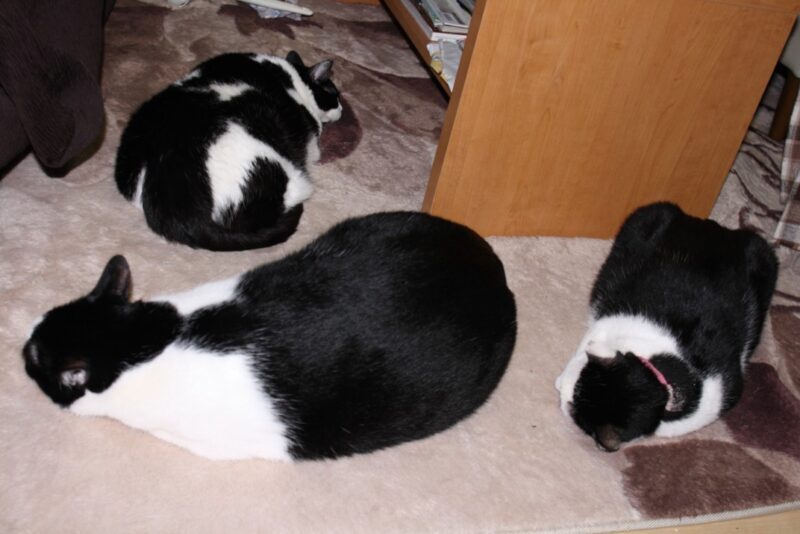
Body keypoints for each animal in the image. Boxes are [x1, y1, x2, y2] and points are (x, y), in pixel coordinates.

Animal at [556, 203, 776, 454]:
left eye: (574, 407)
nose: (559, 387)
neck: (664, 386)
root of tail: (711, 225)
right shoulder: (609, 324)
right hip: (650, 216)